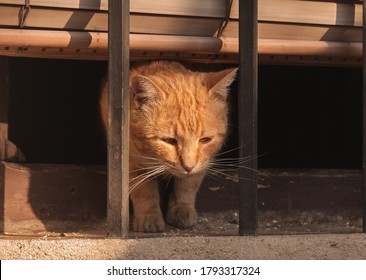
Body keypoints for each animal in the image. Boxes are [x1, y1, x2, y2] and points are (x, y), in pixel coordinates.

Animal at [100, 60, 237, 232]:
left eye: (205, 140)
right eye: (169, 140)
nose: (188, 166)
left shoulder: (203, 162)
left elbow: (188, 185)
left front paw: (182, 209)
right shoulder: (131, 162)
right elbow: (143, 191)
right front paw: (149, 217)